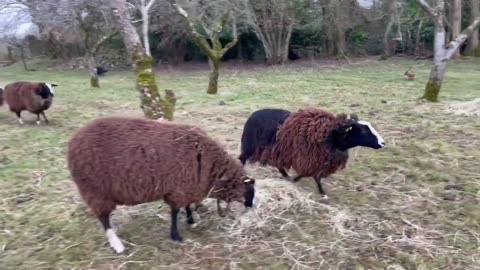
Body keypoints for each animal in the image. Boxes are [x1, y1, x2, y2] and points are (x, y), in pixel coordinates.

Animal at [240, 107, 386, 198]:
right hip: (251, 146)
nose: (383, 143)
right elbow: (311, 174)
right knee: (241, 159)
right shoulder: (309, 158)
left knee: (278, 164)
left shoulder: (320, 160)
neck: (331, 135)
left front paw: (318, 190)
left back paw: (286, 175)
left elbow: (314, 175)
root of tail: (253, 114)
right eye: (364, 131)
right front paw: (320, 192)